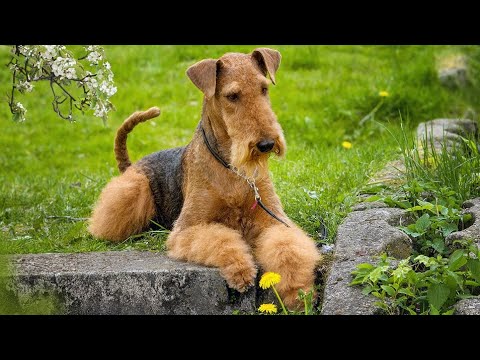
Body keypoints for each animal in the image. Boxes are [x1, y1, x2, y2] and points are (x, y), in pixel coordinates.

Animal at [90, 47, 322, 306]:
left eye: (264, 88)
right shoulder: (187, 228)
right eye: (232, 96)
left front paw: (299, 293)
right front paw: (241, 271)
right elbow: (221, 240)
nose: (267, 144)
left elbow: (287, 247)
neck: (232, 169)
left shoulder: (275, 220)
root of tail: (130, 166)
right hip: (133, 189)